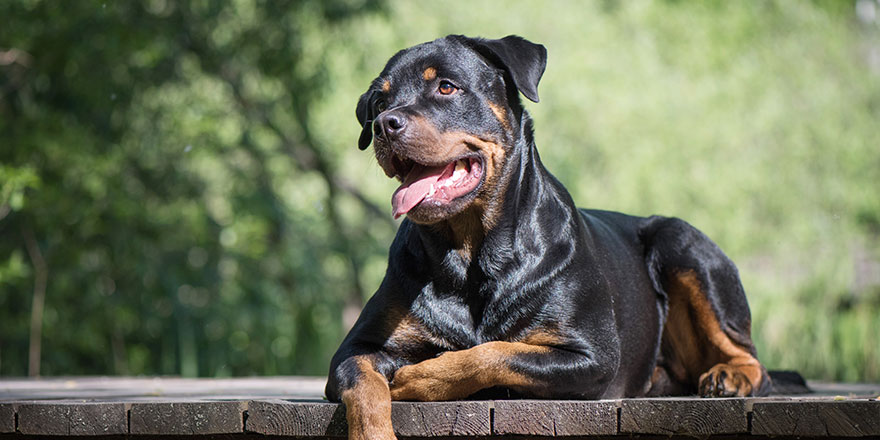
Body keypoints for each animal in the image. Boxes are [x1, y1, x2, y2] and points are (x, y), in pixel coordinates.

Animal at [324, 35, 768, 440]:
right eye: (379, 102)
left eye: (446, 87)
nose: (385, 124)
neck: (470, 253)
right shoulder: (354, 349)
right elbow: (365, 390)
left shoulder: (592, 356)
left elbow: (494, 352)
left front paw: (421, 377)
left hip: (681, 242)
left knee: (751, 356)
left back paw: (730, 376)